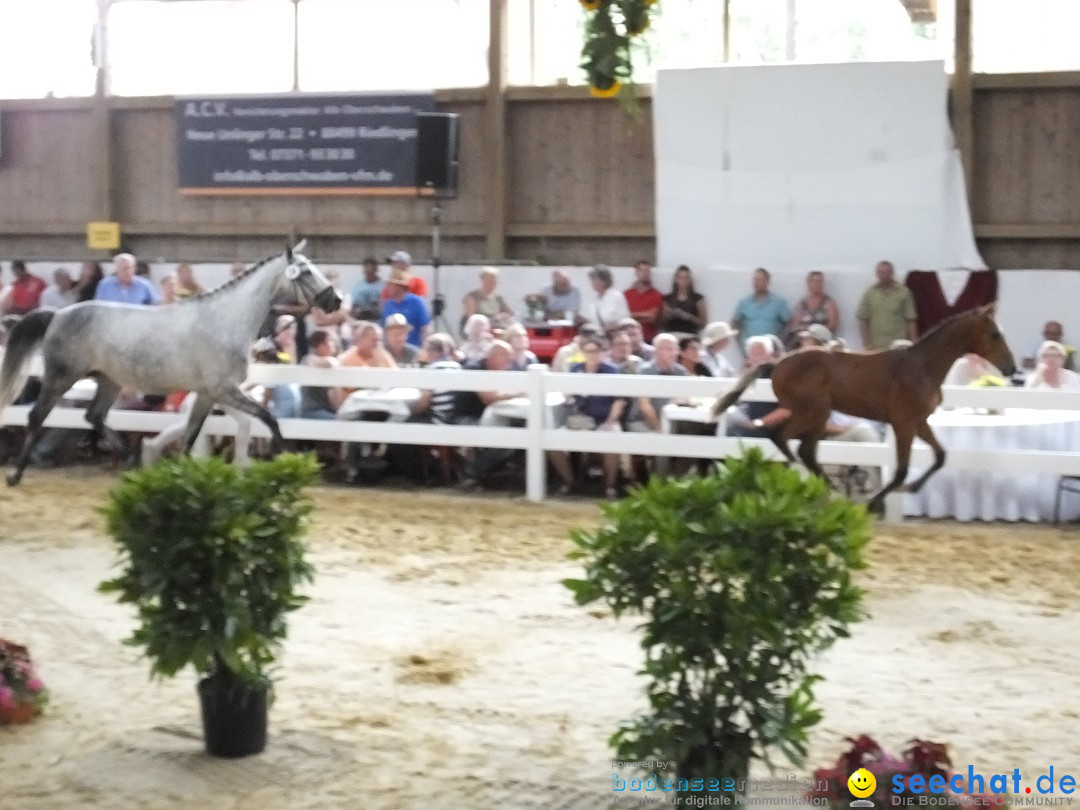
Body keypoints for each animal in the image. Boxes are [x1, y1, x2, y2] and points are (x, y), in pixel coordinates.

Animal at [0, 239, 341, 481]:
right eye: (305, 272)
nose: (334, 301)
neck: (226, 320)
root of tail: (58, 315)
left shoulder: (209, 394)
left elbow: (190, 436)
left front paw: (180, 473)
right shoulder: (224, 390)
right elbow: (269, 419)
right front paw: (285, 458)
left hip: (109, 381)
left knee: (93, 417)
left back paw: (133, 459)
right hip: (61, 376)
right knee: (37, 417)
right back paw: (16, 475)